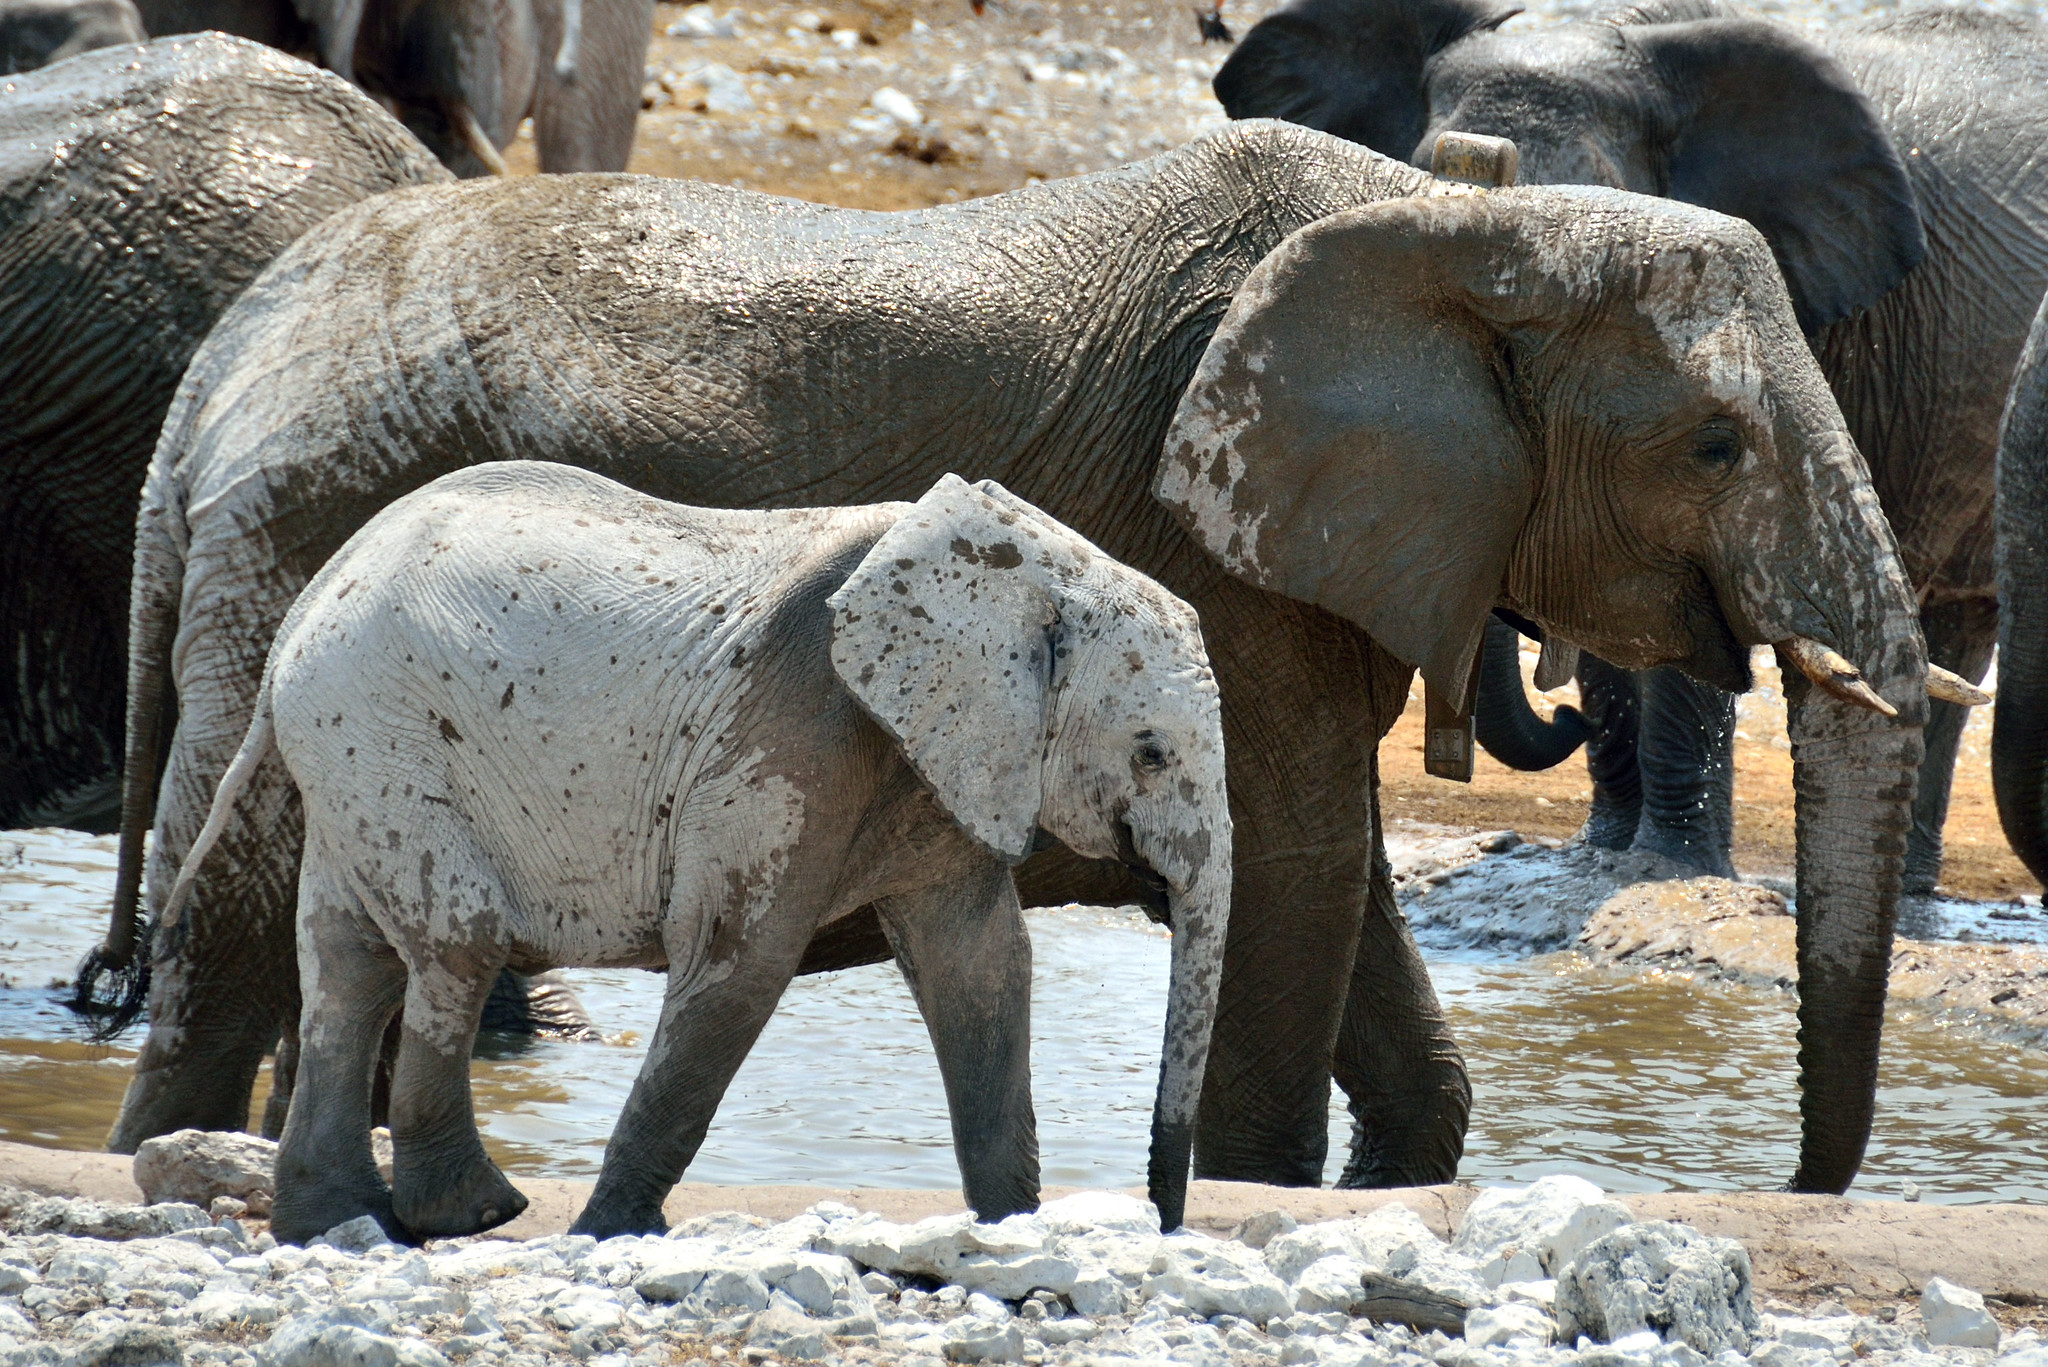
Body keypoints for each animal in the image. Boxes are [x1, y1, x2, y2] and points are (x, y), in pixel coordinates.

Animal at [163, 465, 1228, 1246]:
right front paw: (608, 1234)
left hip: (351, 755)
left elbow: (984, 966)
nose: (1164, 1222)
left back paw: (333, 1221)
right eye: (1151, 751)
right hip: (381, 732)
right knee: (456, 945)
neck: (1025, 566)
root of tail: (299, 614)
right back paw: (471, 1212)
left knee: (350, 963)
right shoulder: (793, 727)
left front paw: (1013, 1230)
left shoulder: (948, 759)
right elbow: (739, 961)